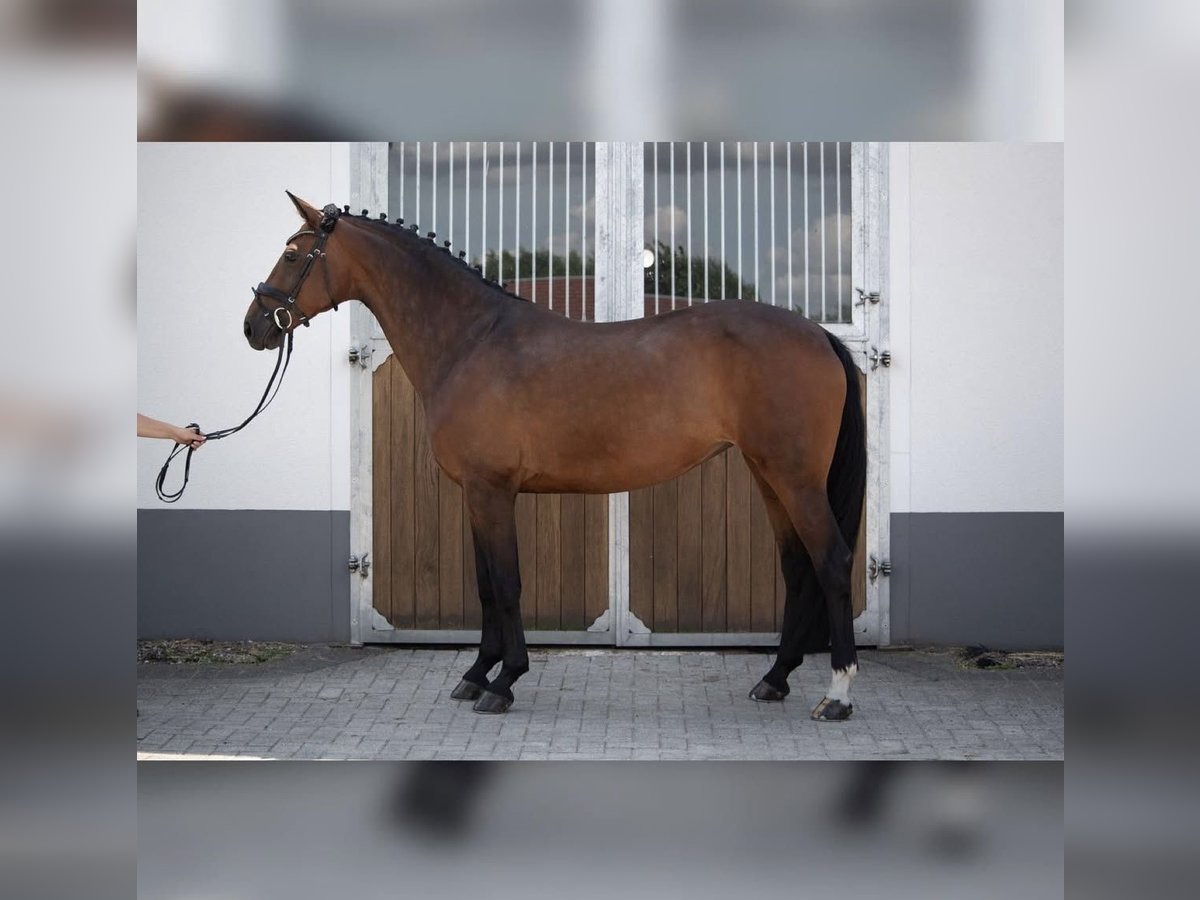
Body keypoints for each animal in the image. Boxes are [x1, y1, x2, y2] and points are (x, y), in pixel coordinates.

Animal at [246, 194, 864, 724]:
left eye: (293, 254)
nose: (253, 327)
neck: (470, 341)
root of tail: (818, 334)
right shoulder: (478, 495)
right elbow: (485, 585)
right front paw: (476, 673)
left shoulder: (492, 490)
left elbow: (507, 583)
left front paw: (503, 682)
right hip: (770, 478)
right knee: (797, 569)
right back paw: (775, 679)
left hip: (796, 480)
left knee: (832, 561)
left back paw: (836, 695)